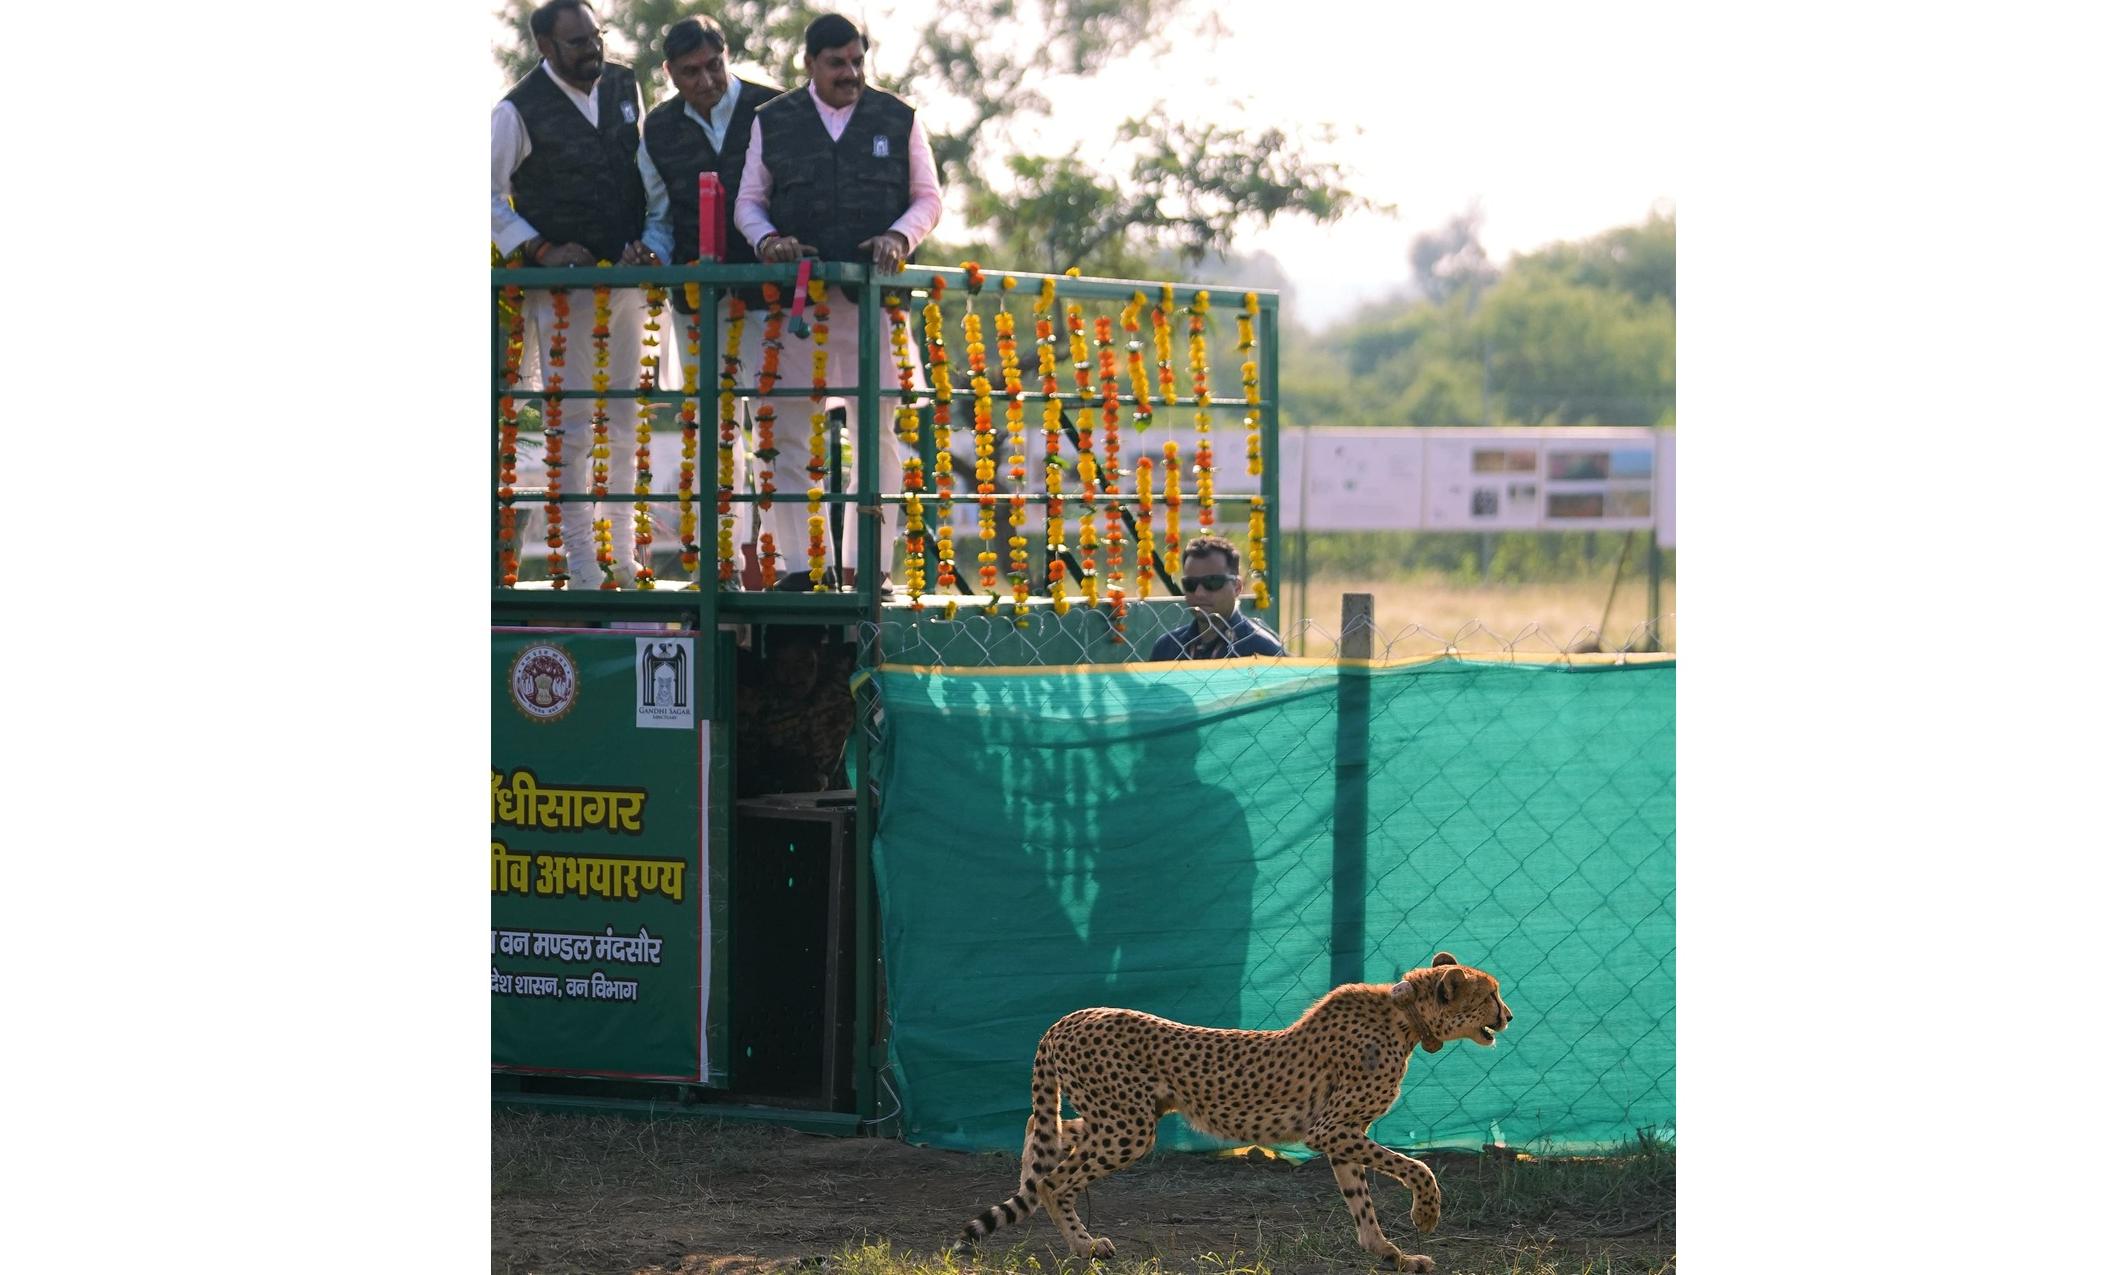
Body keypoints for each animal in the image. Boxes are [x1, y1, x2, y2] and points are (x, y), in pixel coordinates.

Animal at [950, 952, 1512, 1272]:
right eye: (1490, 993)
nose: (1508, 1015)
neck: (1406, 1017)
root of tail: (1069, 1017)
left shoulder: (1341, 1136)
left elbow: (1362, 1203)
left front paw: (1389, 1253)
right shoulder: (1332, 1129)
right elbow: (1416, 1166)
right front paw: (1425, 1215)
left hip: (1117, 1116)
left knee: (1043, 1131)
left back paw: (1038, 1194)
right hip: (1130, 1128)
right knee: (1054, 1178)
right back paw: (1083, 1247)